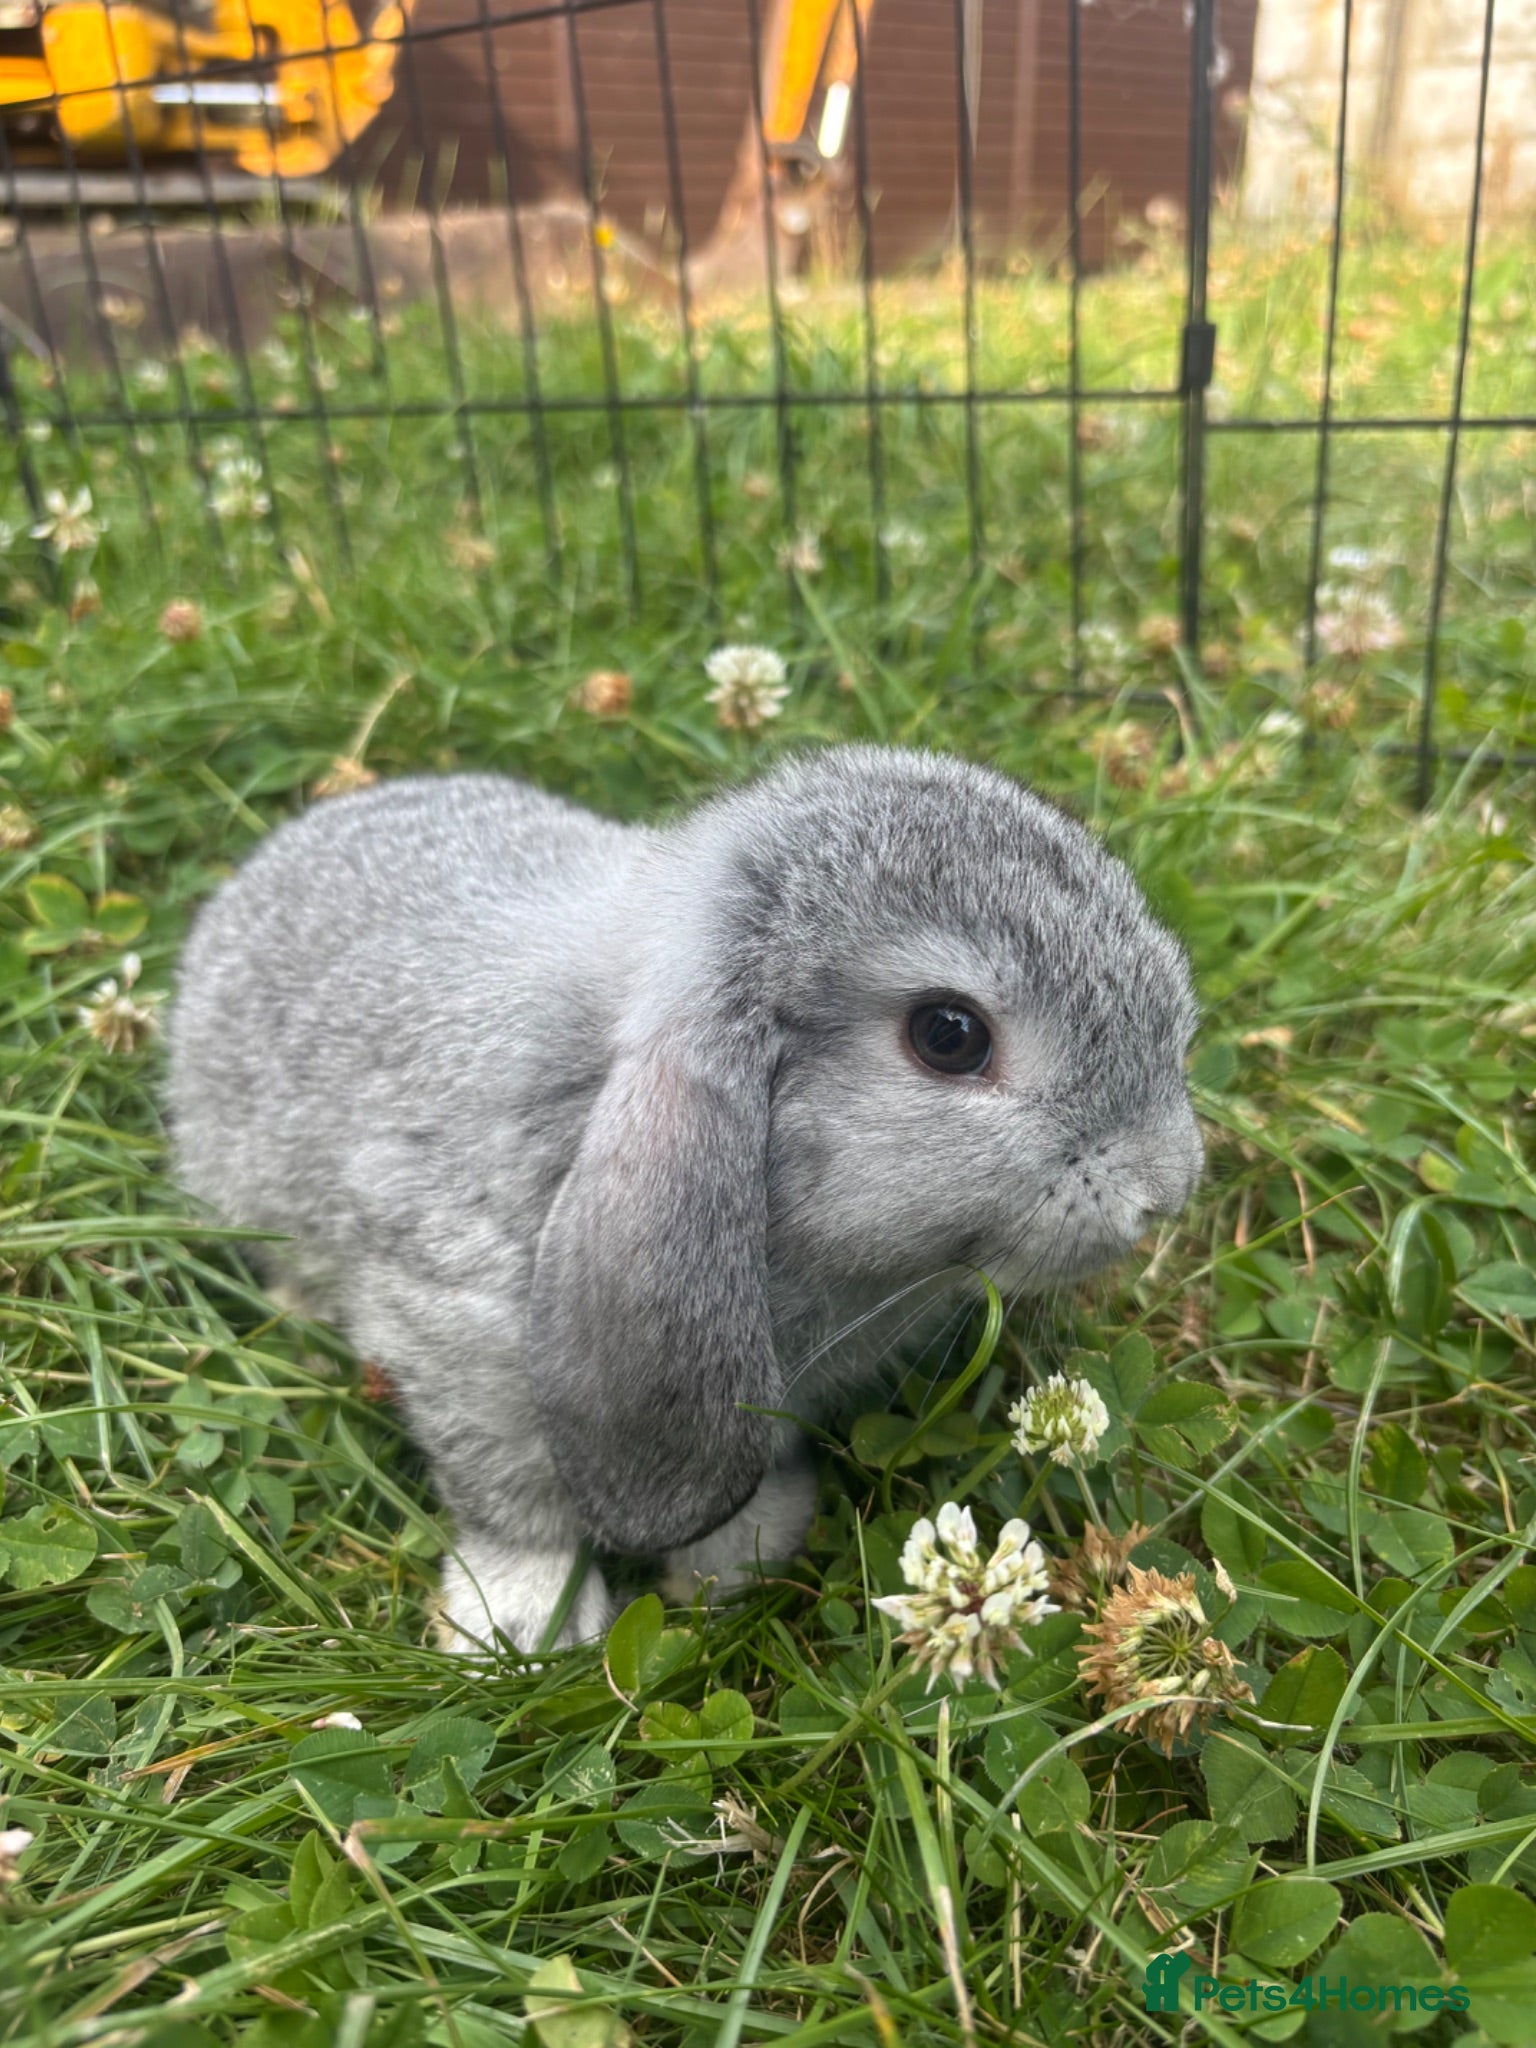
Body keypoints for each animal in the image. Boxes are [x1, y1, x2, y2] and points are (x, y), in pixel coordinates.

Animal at [166, 745, 1204, 1655]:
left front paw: (739, 1559)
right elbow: (517, 1506)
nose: (1166, 1188)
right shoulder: (464, 1340)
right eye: (949, 1036)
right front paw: (523, 1623)